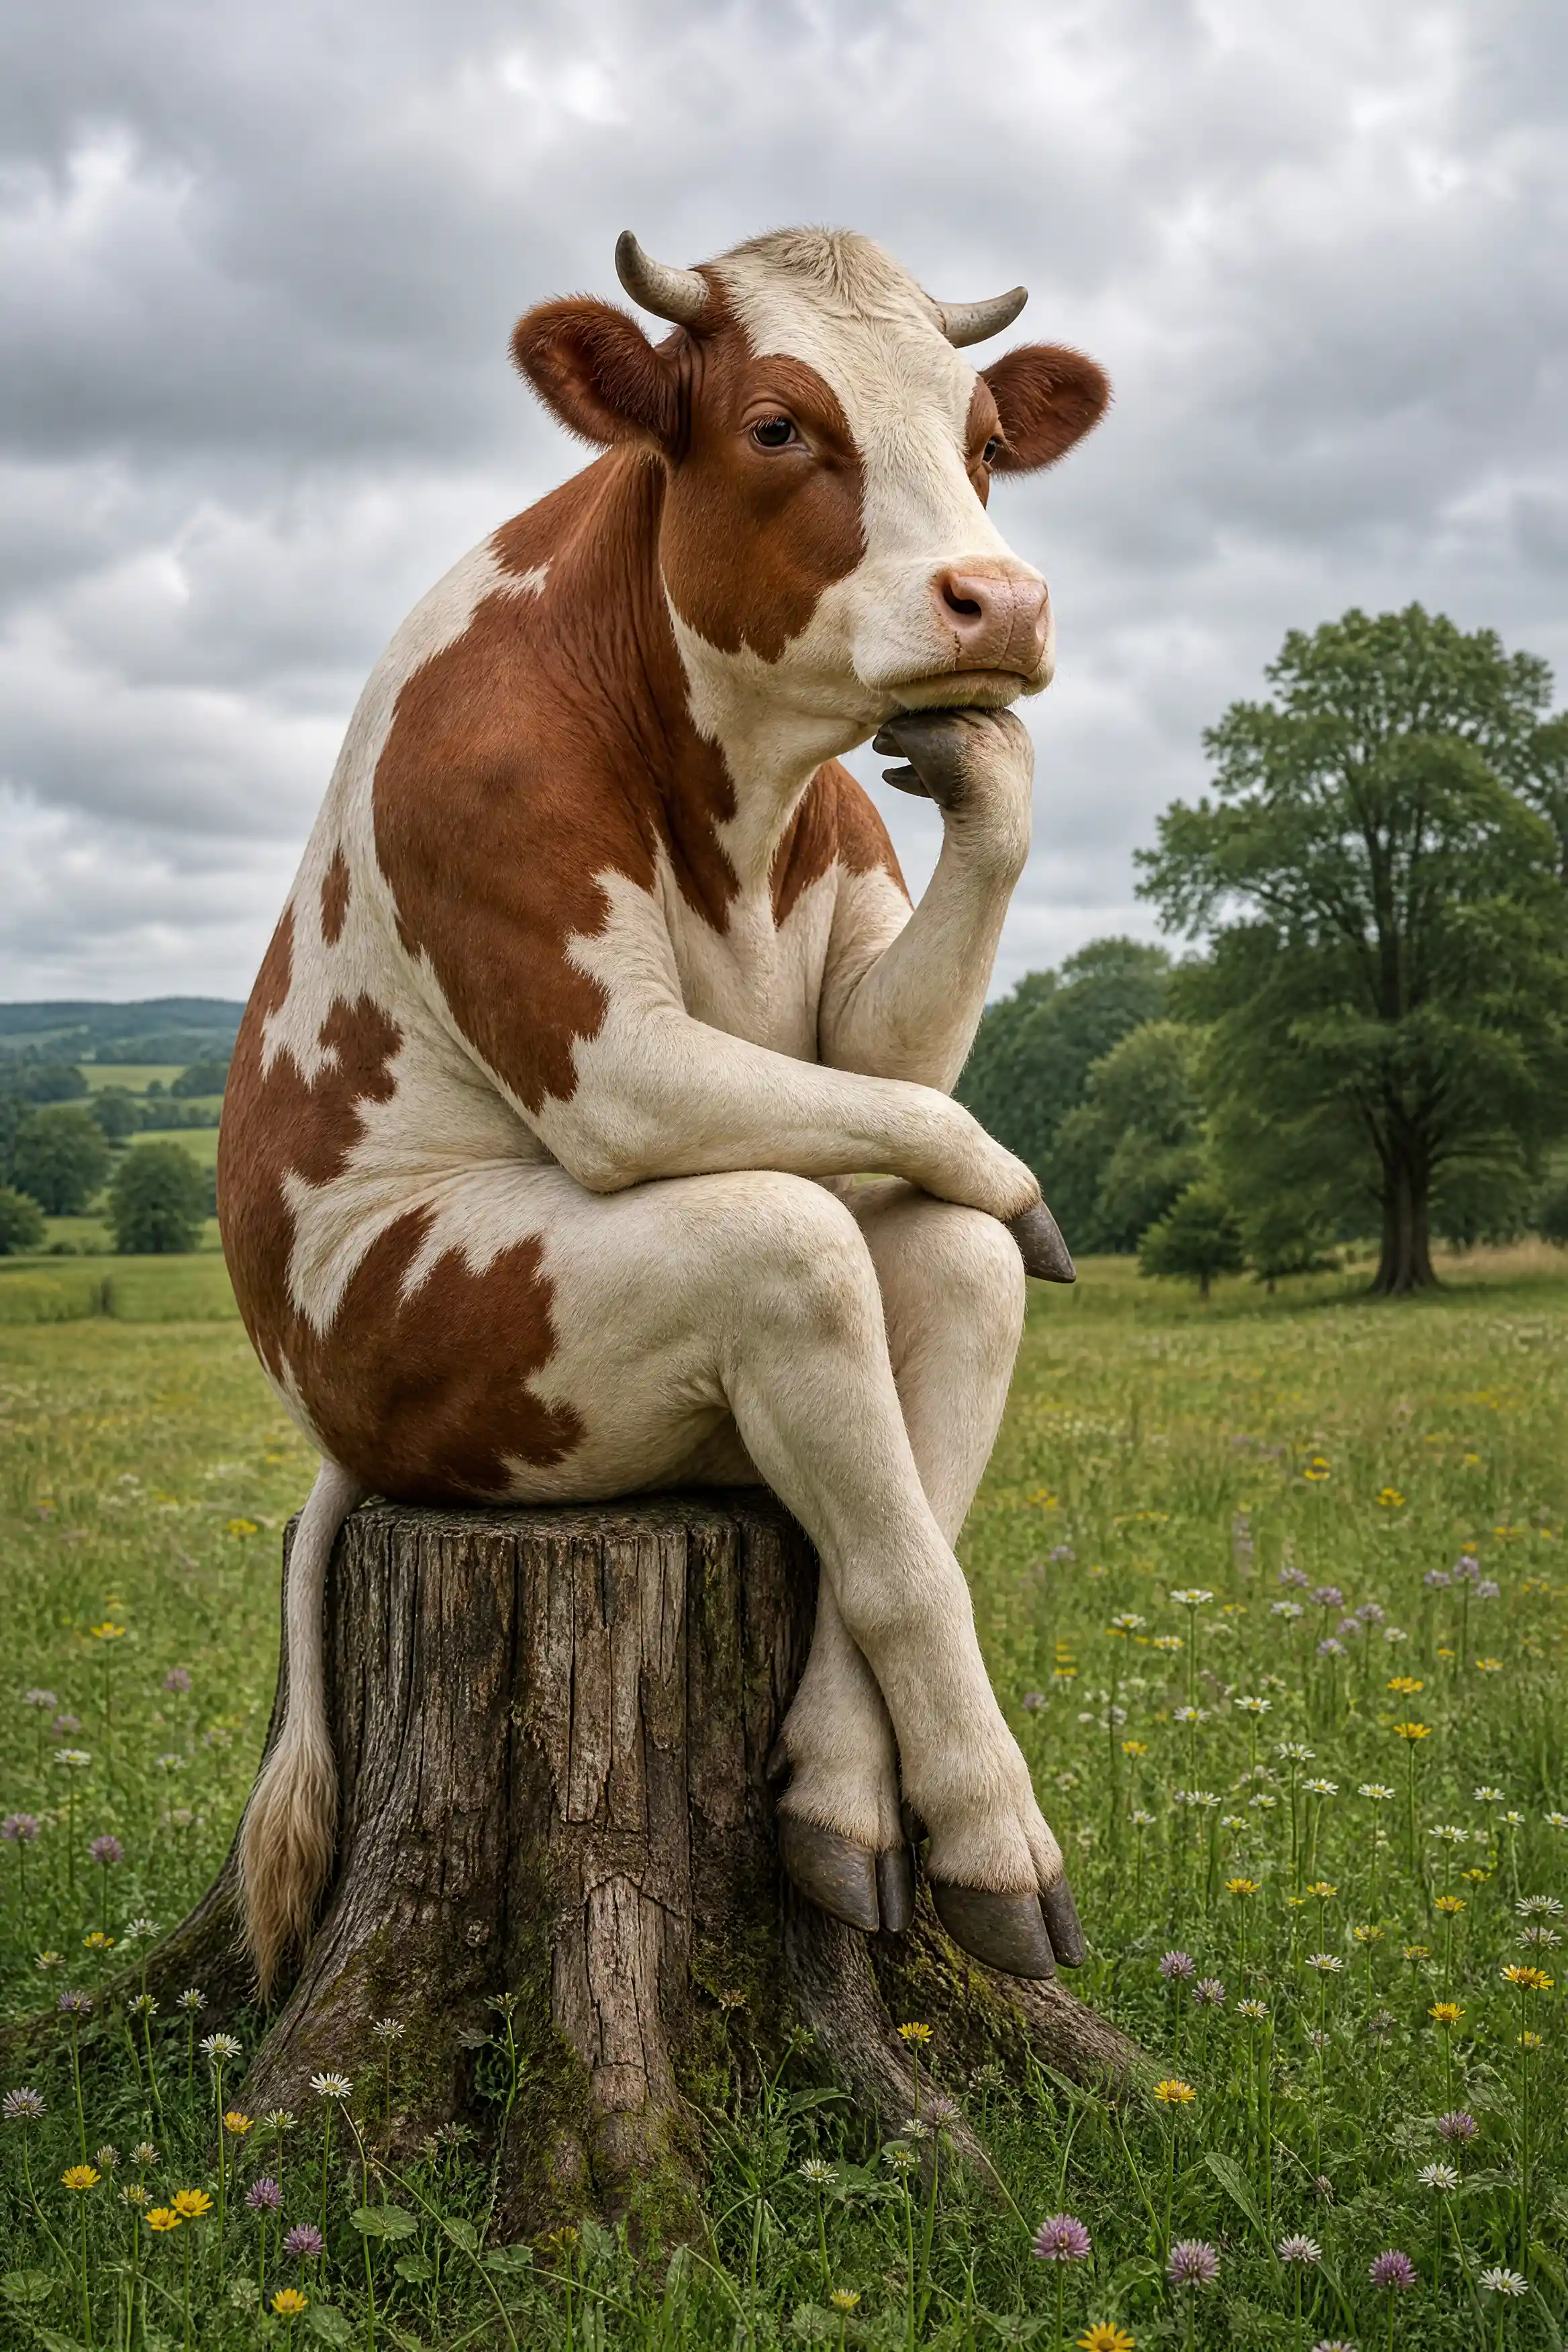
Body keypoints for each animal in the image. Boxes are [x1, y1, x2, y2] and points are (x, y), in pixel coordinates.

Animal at [219, 226, 1110, 1997]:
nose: (1001, 599)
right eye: (777, 426)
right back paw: (976, 1837)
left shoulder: (858, 981)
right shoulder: (587, 1006)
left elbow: (901, 1073)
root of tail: (323, 1415)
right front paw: (997, 1841)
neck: (740, 801)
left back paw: (838, 1801)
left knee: (943, 1267)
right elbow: (951, 1172)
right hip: (456, 1359)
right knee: (814, 1254)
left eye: (985, 441)